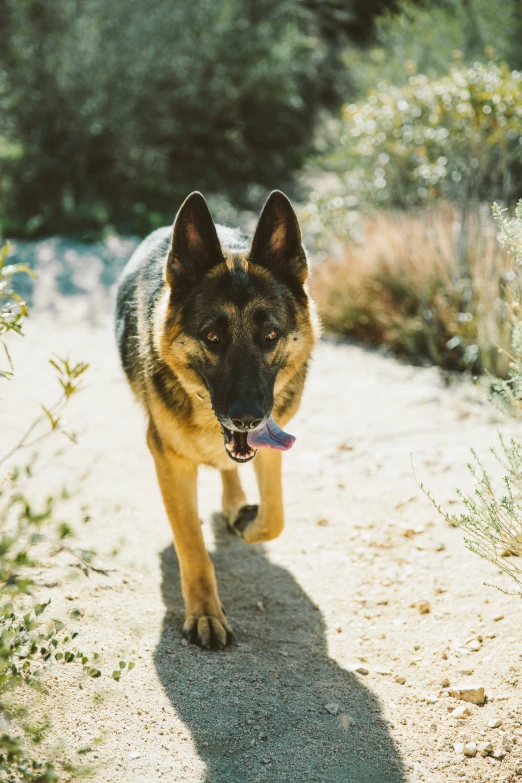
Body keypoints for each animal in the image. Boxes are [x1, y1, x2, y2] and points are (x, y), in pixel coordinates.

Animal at [115, 191, 316, 648]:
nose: (246, 418)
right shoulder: (170, 461)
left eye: (270, 335)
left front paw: (247, 521)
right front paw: (206, 613)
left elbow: (274, 517)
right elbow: (192, 545)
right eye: (212, 337)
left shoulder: (270, 446)